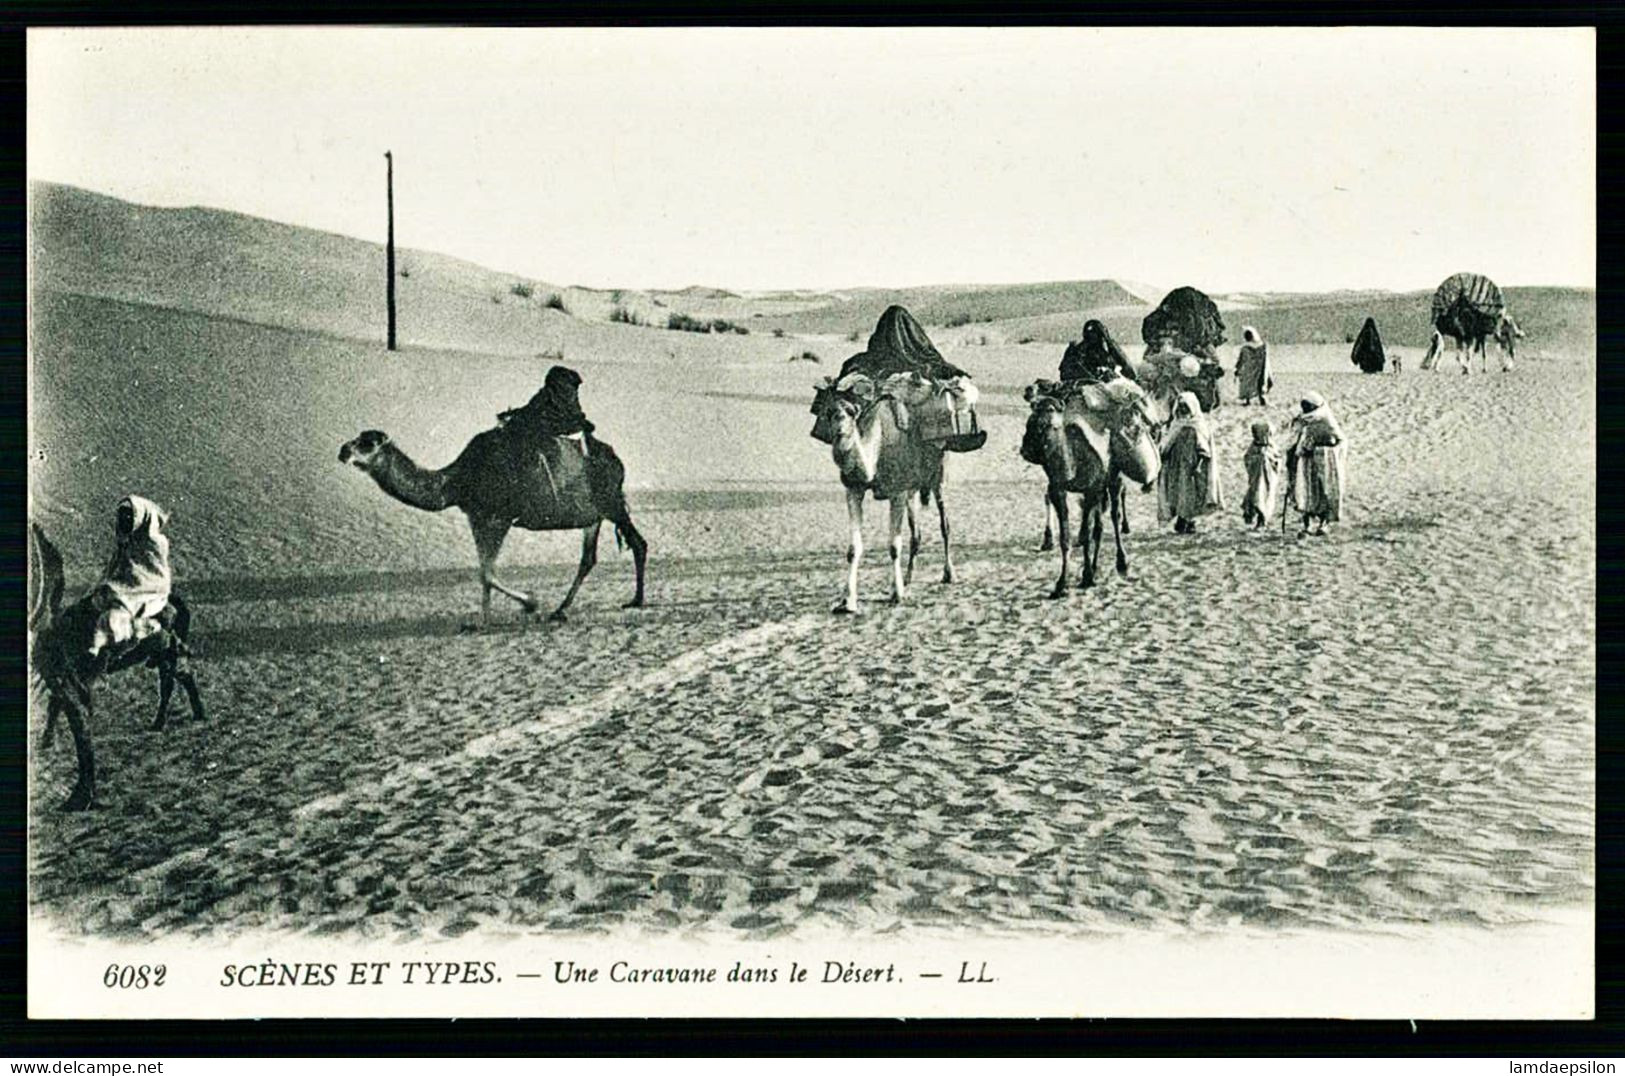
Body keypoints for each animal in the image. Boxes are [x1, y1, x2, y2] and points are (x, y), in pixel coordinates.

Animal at [29, 526, 203, 812]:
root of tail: (175, 603)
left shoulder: (67, 680)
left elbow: (77, 726)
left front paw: (80, 796)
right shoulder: (65, 679)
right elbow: (59, 708)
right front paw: (47, 741)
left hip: (166, 655)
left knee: (175, 680)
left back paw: (175, 718)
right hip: (160, 656)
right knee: (177, 679)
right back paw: (181, 718)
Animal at [338, 425, 646, 627]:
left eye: (367, 443)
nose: (342, 451)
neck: (456, 482)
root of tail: (617, 461)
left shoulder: (499, 517)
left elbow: (487, 572)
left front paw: (529, 602)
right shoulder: (477, 516)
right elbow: (484, 572)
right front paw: (483, 621)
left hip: (611, 503)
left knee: (638, 543)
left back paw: (636, 600)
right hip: (593, 515)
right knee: (588, 558)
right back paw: (561, 610)